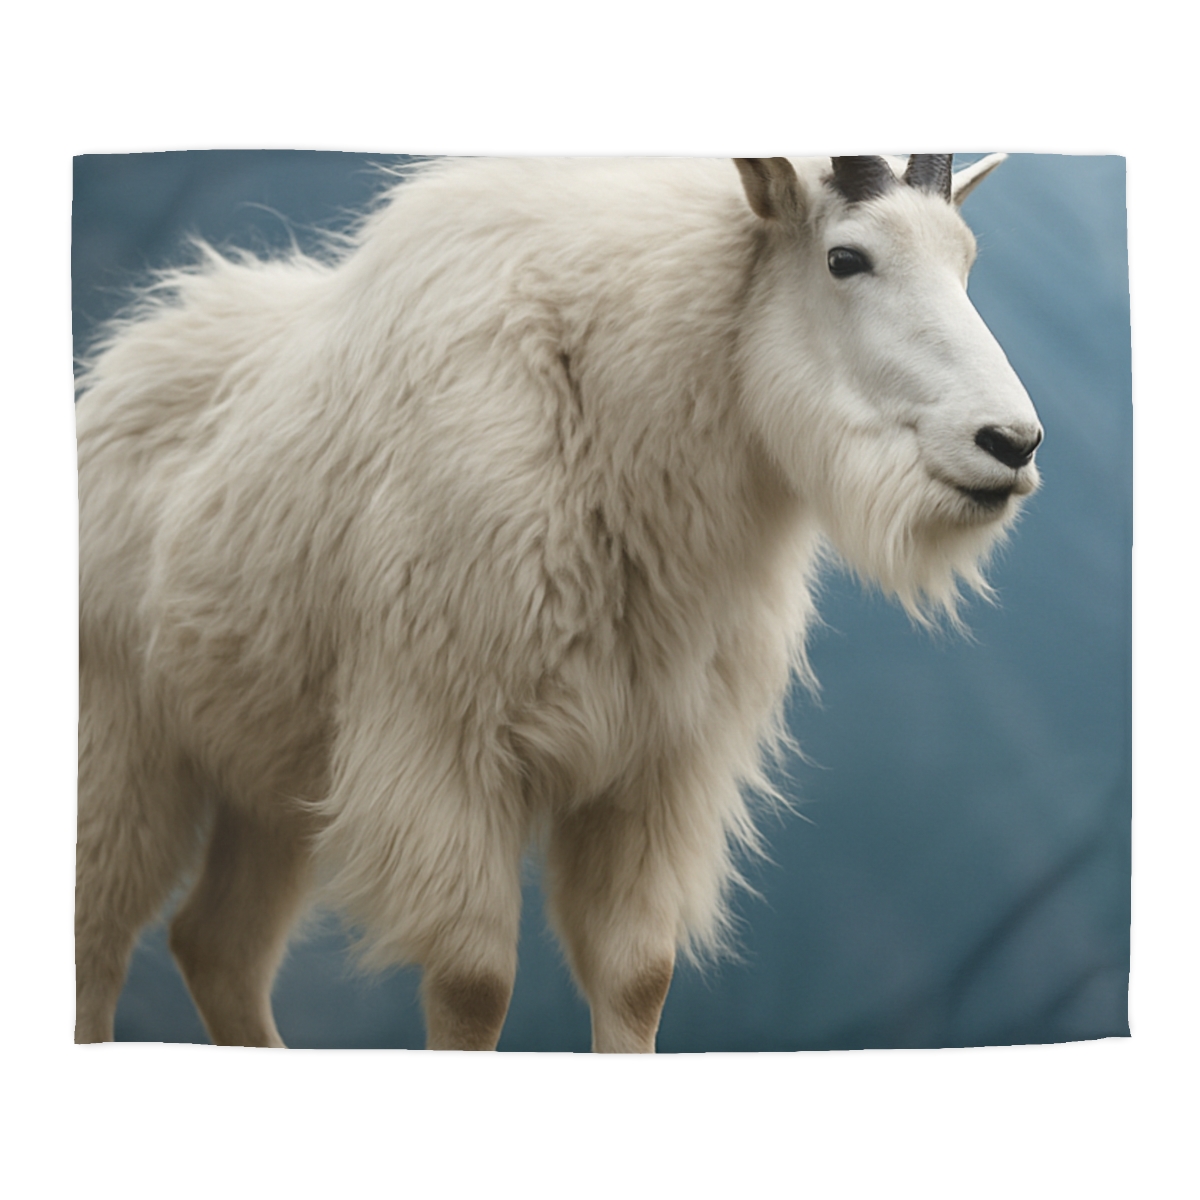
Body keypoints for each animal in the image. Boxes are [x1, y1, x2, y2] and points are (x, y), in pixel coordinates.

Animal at [75, 154, 1042, 1052]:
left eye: (965, 258)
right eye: (846, 258)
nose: (1012, 443)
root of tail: (115, 374)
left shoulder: (654, 774)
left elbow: (638, 979)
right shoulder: (447, 751)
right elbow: (474, 989)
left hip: (270, 780)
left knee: (217, 946)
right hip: (125, 739)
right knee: (98, 937)